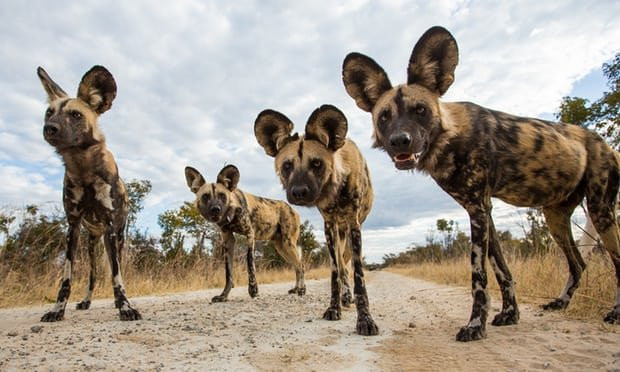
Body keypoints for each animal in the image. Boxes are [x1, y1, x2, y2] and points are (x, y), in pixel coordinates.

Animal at [37, 65, 142, 322]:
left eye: (76, 115)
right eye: (49, 113)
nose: (49, 128)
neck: (82, 166)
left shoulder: (111, 227)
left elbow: (117, 276)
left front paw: (125, 307)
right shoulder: (73, 227)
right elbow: (67, 278)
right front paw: (57, 310)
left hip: (116, 237)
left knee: (115, 269)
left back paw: (118, 301)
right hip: (92, 244)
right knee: (93, 276)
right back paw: (86, 301)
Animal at [186, 164, 308, 300]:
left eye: (222, 195)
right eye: (205, 196)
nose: (215, 209)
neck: (232, 212)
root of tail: (293, 209)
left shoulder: (250, 235)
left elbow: (249, 263)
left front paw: (253, 290)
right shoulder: (228, 240)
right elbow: (228, 273)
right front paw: (223, 296)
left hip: (288, 244)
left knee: (301, 266)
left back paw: (302, 290)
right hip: (281, 248)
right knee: (296, 266)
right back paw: (296, 289)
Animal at [252, 104, 378, 334]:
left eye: (317, 163)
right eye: (287, 165)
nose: (299, 192)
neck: (335, 189)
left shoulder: (354, 225)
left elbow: (358, 276)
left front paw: (365, 319)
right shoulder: (329, 226)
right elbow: (335, 273)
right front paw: (334, 308)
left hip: (348, 234)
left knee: (347, 265)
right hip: (336, 234)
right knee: (342, 266)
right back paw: (345, 297)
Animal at [342, 25, 620, 340]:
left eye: (420, 110)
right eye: (384, 116)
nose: (400, 141)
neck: (448, 139)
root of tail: (607, 144)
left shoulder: (477, 208)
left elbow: (479, 274)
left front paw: (475, 325)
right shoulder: (485, 210)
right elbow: (501, 269)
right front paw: (509, 314)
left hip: (599, 209)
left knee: (617, 261)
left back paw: (614, 313)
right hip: (555, 218)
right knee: (578, 263)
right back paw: (560, 303)